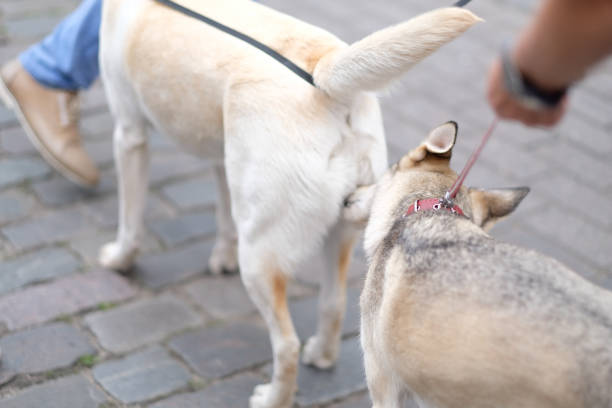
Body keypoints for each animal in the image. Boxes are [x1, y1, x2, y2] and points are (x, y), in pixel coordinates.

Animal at [100, 1, 480, 406]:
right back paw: (323, 356)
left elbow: (130, 218)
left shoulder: (129, 134)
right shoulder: (222, 157)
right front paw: (221, 257)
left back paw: (272, 398)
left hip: (260, 257)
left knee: (286, 345)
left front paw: (120, 260)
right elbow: (223, 212)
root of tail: (328, 77)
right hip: (343, 226)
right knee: (332, 304)